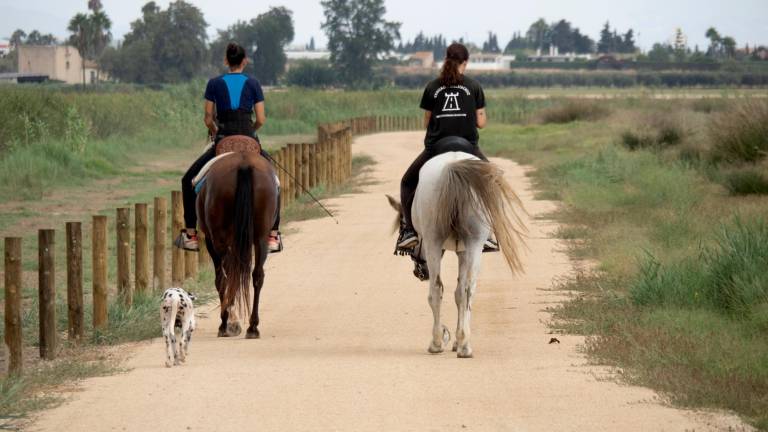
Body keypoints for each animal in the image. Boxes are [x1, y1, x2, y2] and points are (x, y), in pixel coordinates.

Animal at [195, 140, 276, 340]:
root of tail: (243, 164)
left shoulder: (212, 240)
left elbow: (223, 278)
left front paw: (230, 322)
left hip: (219, 239)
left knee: (225, 277)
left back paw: (226, 324)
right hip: (261, 236)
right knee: (257, 275)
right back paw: (253, 327)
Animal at [388, 152, 524, 358]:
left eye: (403, 224)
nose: (419, 273)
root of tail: (453, 164)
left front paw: (448, 338)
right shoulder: (463, 250)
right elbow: (460, 293)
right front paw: (458, 340)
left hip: (433, 241)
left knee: (436, 290)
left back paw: (436, 343)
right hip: (474, 241)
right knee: (468, 289)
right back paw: (465, 347)